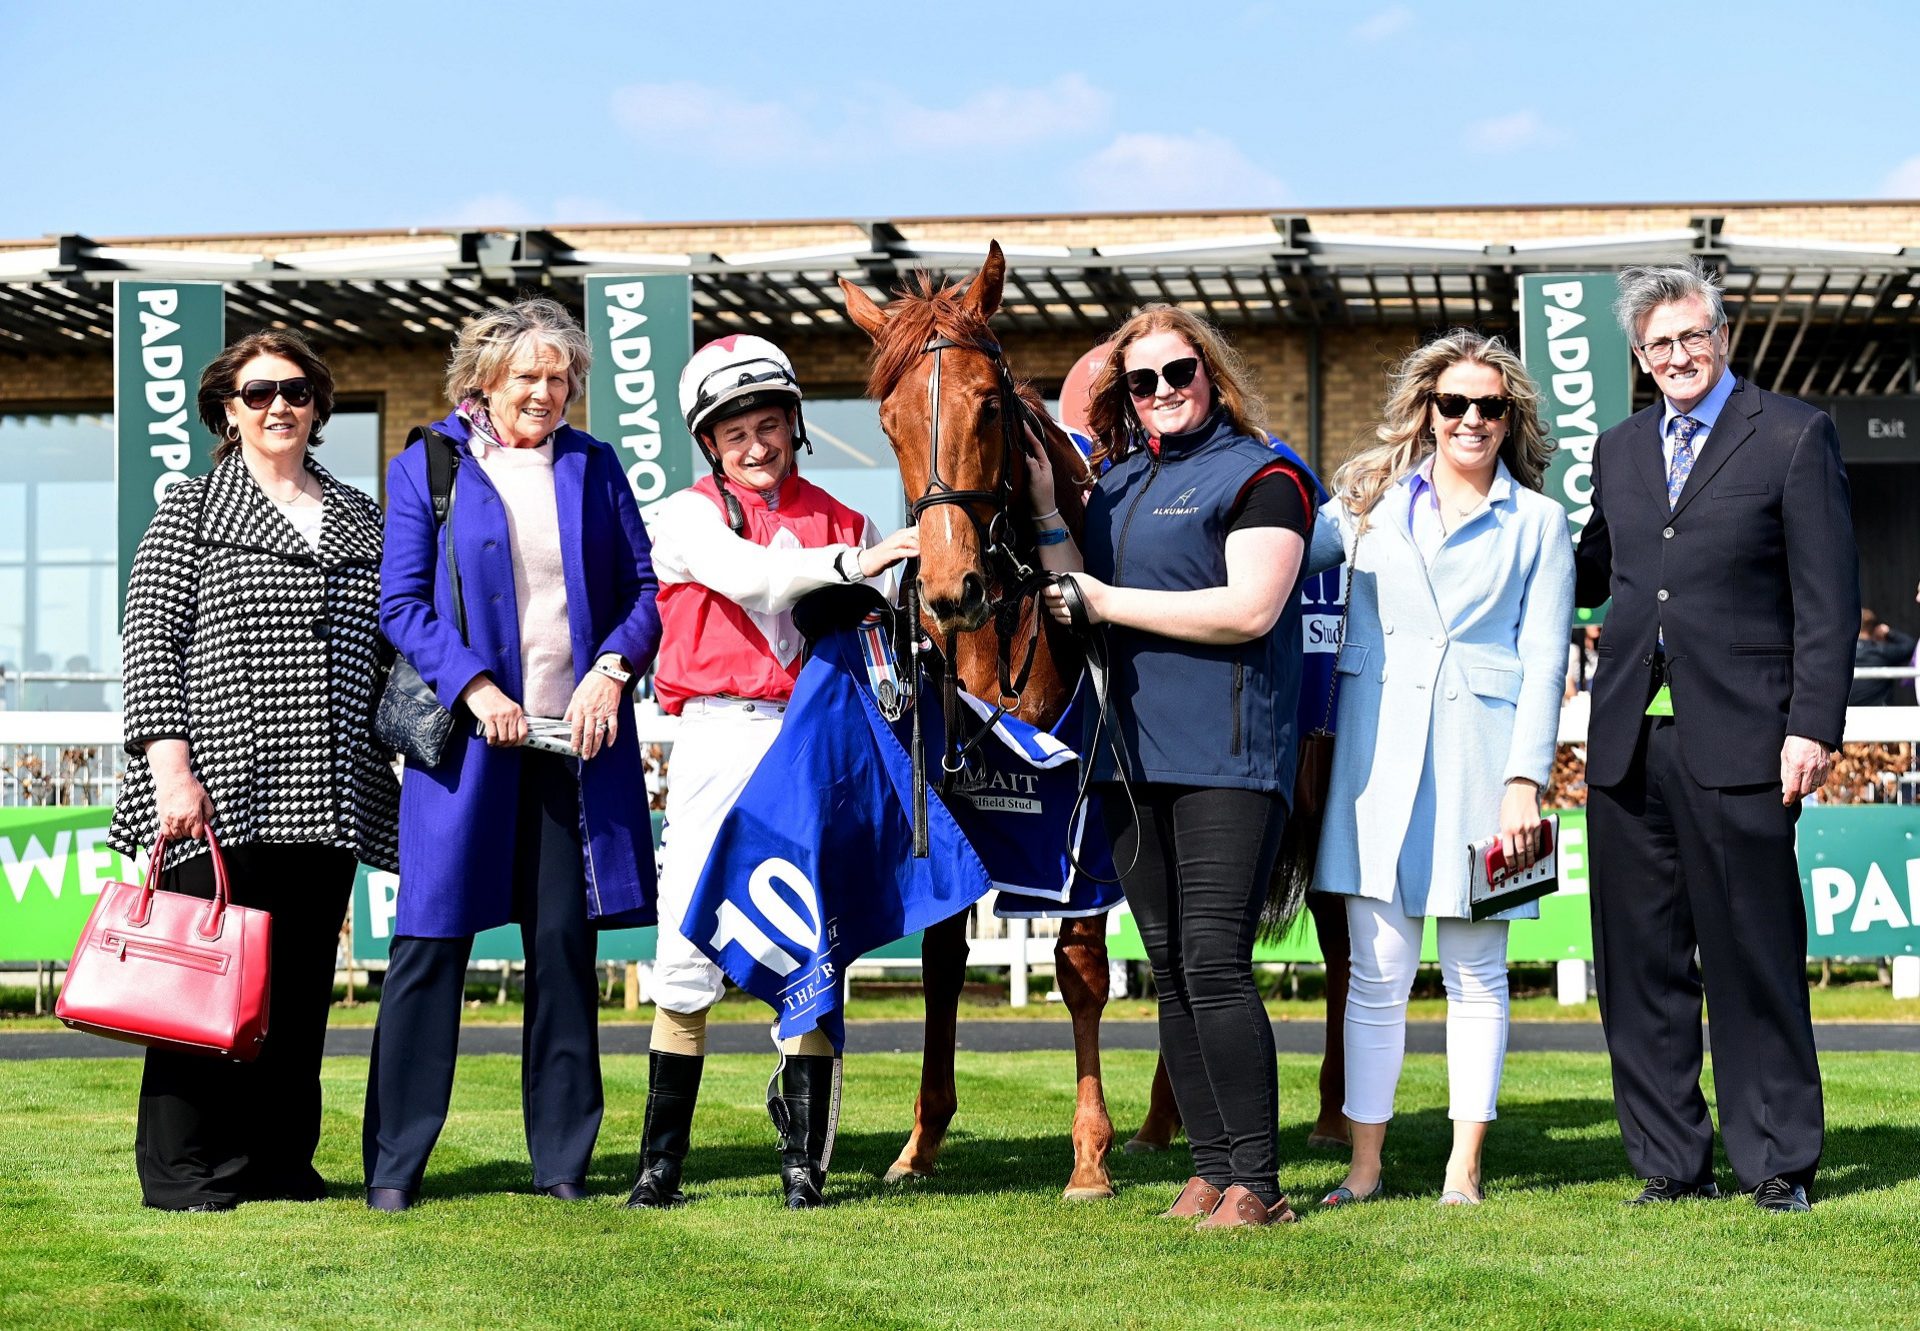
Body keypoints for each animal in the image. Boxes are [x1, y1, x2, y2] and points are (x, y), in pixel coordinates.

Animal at [833, 243, 1121, 1198]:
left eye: (989, 403)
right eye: (885, 420)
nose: (949, 587)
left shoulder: (1084, 813)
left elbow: (1080, 967)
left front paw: (1089, 1152)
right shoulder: (954, 795)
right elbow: (941, 962)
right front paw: (921, 1139)